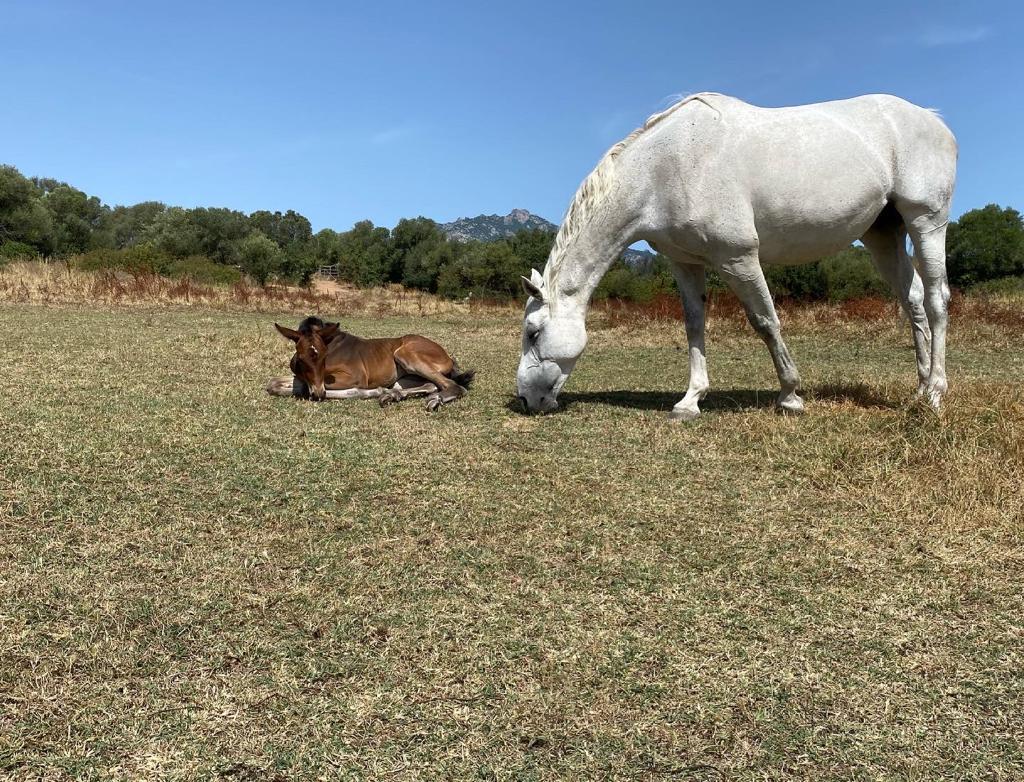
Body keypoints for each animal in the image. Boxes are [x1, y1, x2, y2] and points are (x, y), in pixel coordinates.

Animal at [267, 316, 474, 411]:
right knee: (431, 384)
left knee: (454, 386)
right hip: (405, 377)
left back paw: (434, 400)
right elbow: (273, 383)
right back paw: (392, 396)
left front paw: (372, 392)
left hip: (406, 354)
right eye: (301, 359)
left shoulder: (355, 377)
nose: (318, 394)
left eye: (325, 356)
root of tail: (448, 356)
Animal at [516, 93, 958, 420]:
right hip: (883, 235)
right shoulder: (686, 263)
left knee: (937, 300)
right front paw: (690, 400)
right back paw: (919, 387)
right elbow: (694, 325)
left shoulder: (738, 257)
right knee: (913, 301)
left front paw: (790, 395)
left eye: (533, 333)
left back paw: (935, 394)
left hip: (926, 222)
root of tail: (935, 121)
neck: (667, 168)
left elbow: (765, 321)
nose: (525, 399)